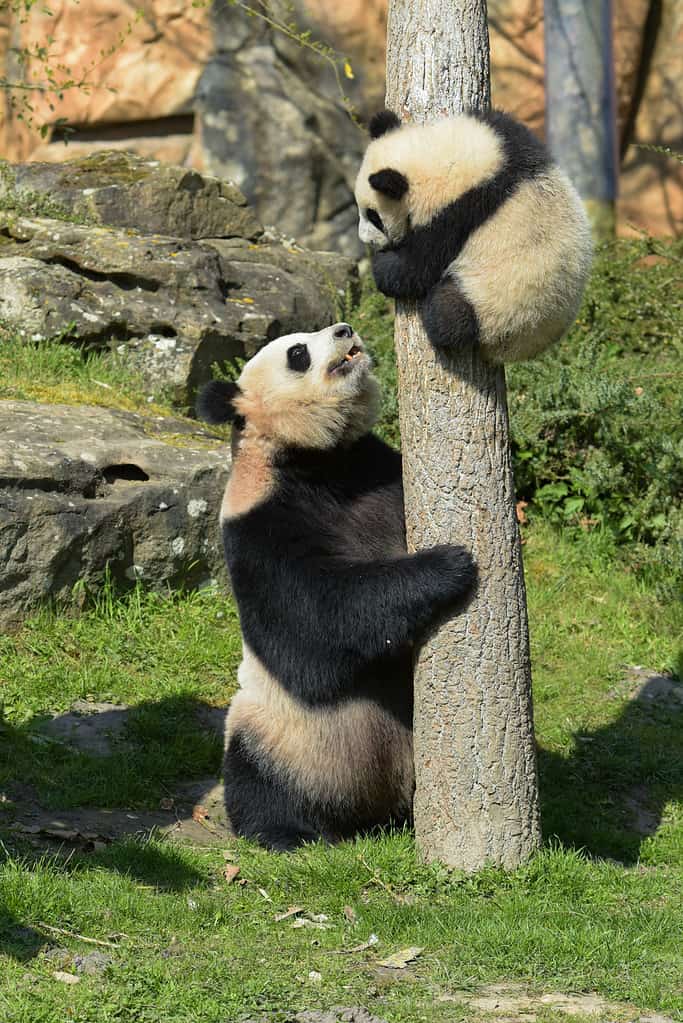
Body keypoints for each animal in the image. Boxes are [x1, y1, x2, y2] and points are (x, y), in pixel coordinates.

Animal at [197, 323, 474, 851]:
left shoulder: (374, 469)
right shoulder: (258, 527)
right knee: (254, 776)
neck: (318, 460)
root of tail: (367, 818)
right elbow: (318, 616)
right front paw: (449, 565)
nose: (345, 330)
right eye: (297, 352)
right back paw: (283, 832)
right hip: (280, 739)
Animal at [355, 107, 588, 362]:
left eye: (374, 217)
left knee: (450, 316)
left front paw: (381, 265)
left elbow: (413, 269)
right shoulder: (508, 139)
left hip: (498, 309)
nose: (365, 240)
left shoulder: (453, 218)